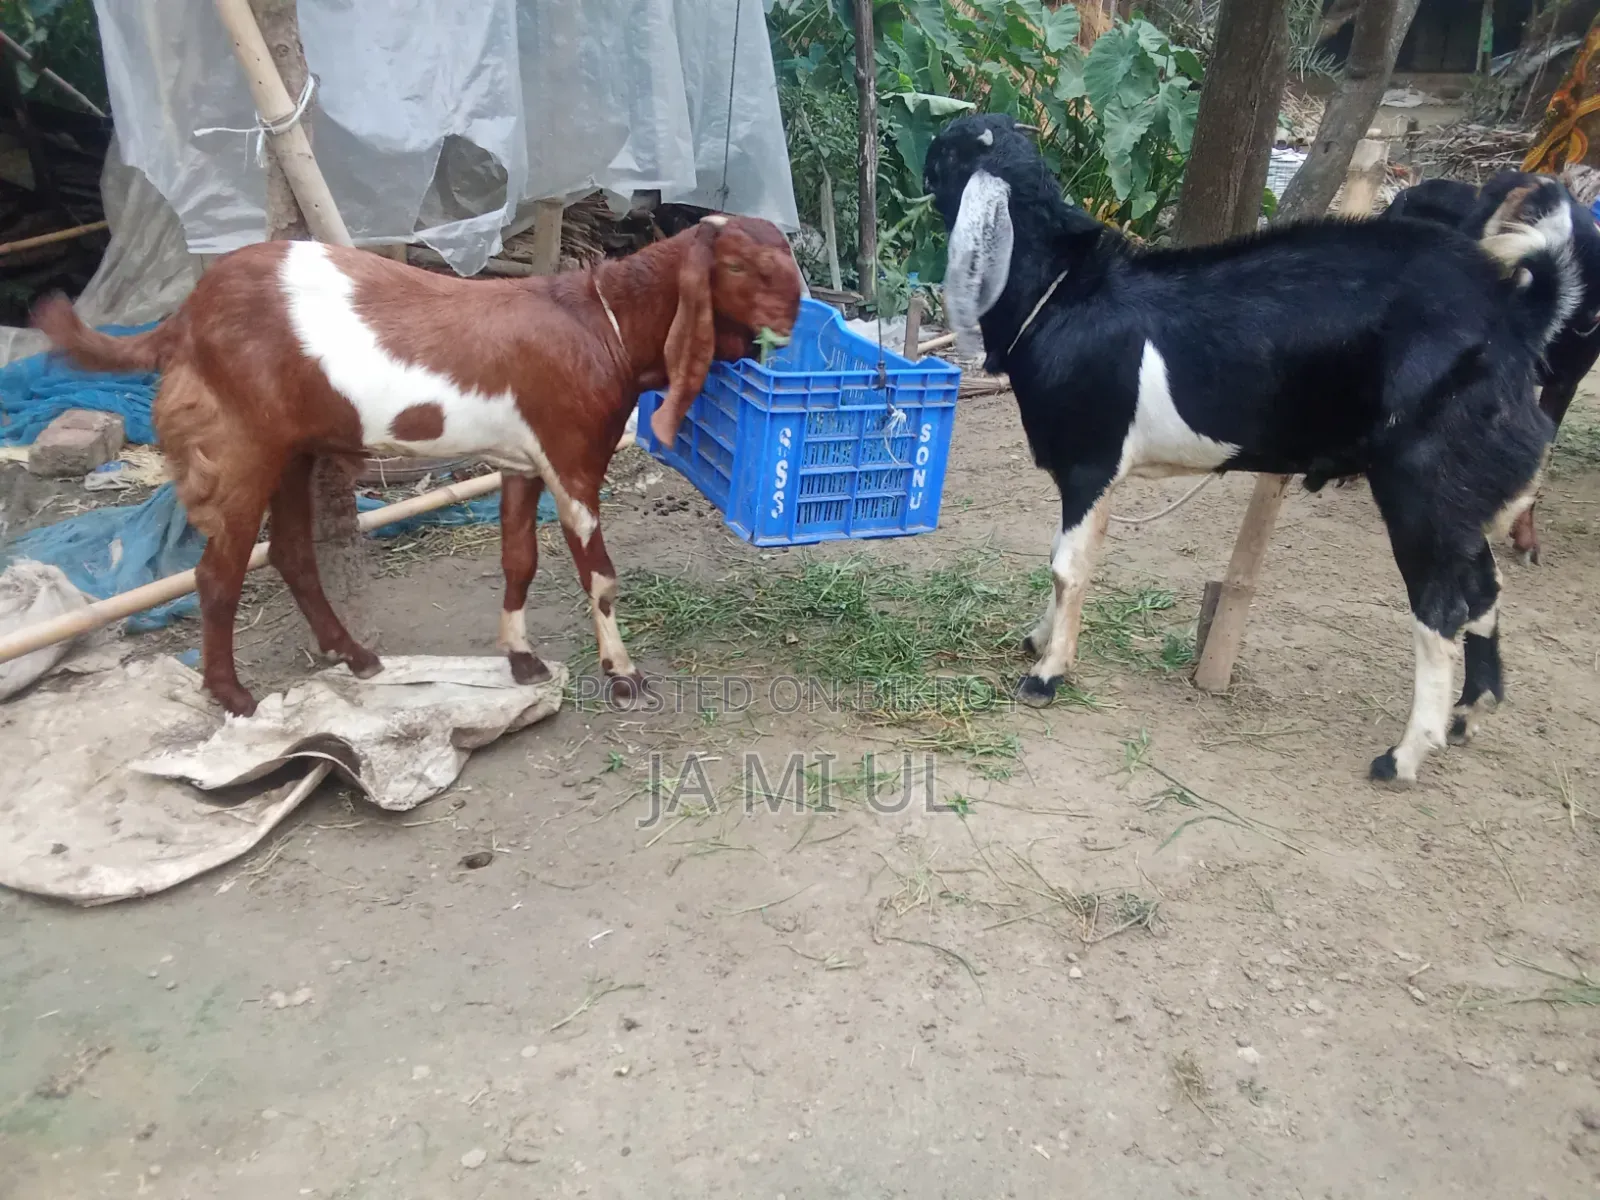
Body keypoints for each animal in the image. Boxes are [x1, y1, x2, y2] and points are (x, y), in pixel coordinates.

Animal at [31, 217, 803, 717]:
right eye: (740, 266)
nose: (795, 318)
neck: (602, 324)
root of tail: (183, 319)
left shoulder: (522, 461)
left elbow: (518, 559)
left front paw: (521, 659)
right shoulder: (572, 459)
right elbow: (601, 576)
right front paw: (622, 675)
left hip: (292, 450)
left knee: (291, 553)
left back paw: (355, 656)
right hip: (241, 446)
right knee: (217, 572)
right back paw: (233, 695)